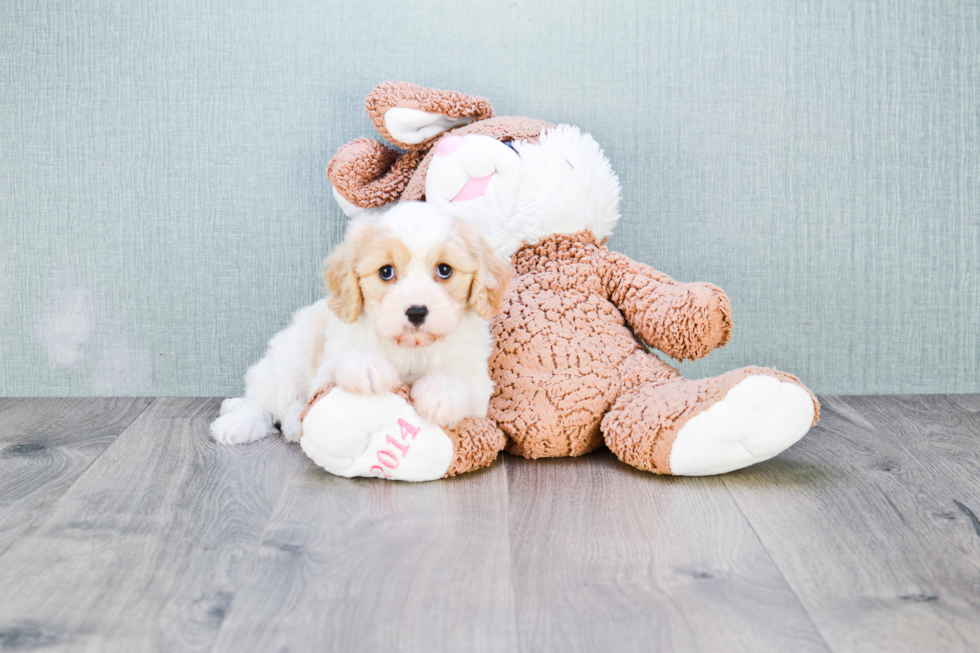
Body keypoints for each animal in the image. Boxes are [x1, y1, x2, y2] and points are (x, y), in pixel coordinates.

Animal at [210, 202, 510, 448]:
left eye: (444, 270)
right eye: (386, 272)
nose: (416, 311)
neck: (411, 348)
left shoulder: (478, 384)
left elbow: (459, 380)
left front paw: (440, 394)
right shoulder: (327, 366)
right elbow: (343, 362)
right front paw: (366, 367)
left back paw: (293, 423)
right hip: (293, 353)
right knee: (265, 399)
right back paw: (238, 423)